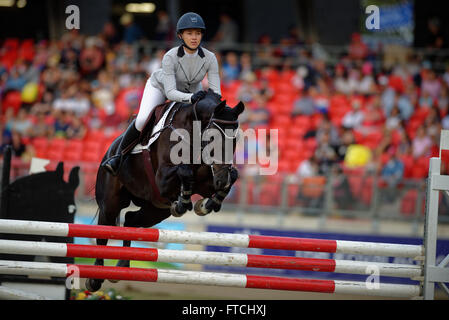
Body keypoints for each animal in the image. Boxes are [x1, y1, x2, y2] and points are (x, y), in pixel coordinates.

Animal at [85, 90, 243, 292]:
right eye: (212, 137)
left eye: (235, 138)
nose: (221, 178)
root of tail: (110, 150)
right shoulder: (162, 179)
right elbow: (184, 171)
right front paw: (184, 203)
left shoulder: (205, 182)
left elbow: (233, 176)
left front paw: (205, 204)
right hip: (110, 203)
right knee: (104, 232)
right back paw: (95, 278)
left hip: (155, 209)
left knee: (130, 221)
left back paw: (123, 265)